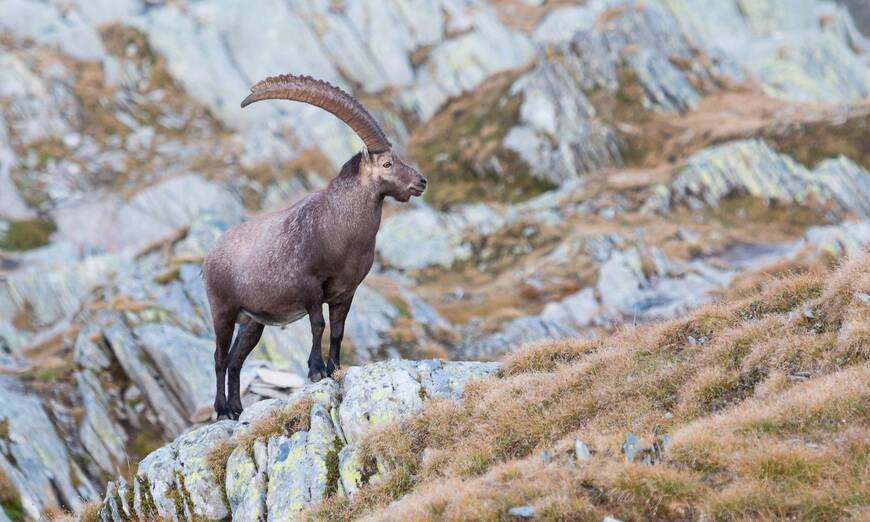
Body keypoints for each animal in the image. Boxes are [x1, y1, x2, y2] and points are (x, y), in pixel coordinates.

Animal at [203, 74, 427, 419]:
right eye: (388, 163)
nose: (421, 182)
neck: (338, 228)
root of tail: (209, 256)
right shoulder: (310, 287)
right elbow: (318, 325)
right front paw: (316, 370)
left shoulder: (345, 292)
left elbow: (337, 330)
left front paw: (335, 368)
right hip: (223, 310)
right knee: (219, 357)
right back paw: (223, 410)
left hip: (253, 322)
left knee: (236, 360)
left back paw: (238, 409)